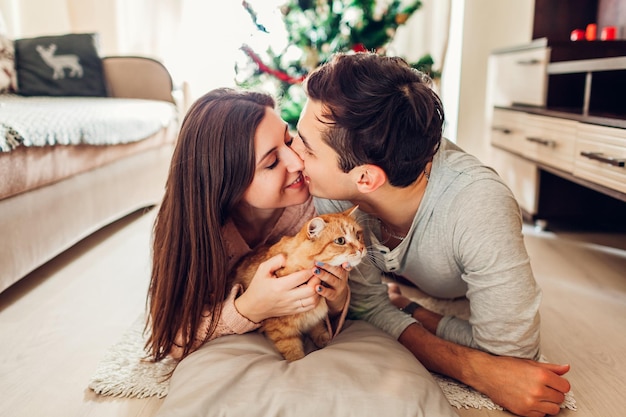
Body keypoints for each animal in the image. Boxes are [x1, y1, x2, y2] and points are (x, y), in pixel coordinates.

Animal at [232, 205, 364, 360]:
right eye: (340, 241)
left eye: (358, 235)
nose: (361, 248)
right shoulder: (281, 330)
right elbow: (293, 352)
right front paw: (298, 358)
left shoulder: (315, 319)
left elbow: (318, 328)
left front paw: (324, 341)